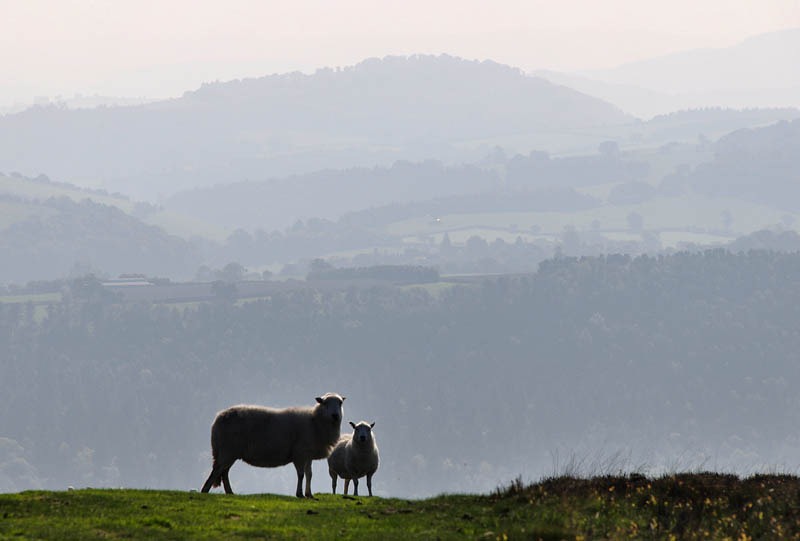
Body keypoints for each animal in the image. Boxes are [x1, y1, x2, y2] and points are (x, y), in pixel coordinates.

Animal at [200, 392, 345, 498]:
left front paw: (309, 494)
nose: (335, 415)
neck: (315, 422)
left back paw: (229, 492)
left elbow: (309, 474)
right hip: (227, 450)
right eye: (325, 403)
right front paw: (299, 494)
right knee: (217, 471)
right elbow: (301, 475)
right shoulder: (299, 454)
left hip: (229, 452)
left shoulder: (307, 455)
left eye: (340, 403)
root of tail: (219, 417)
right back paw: (205, 491)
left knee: (224, 472)